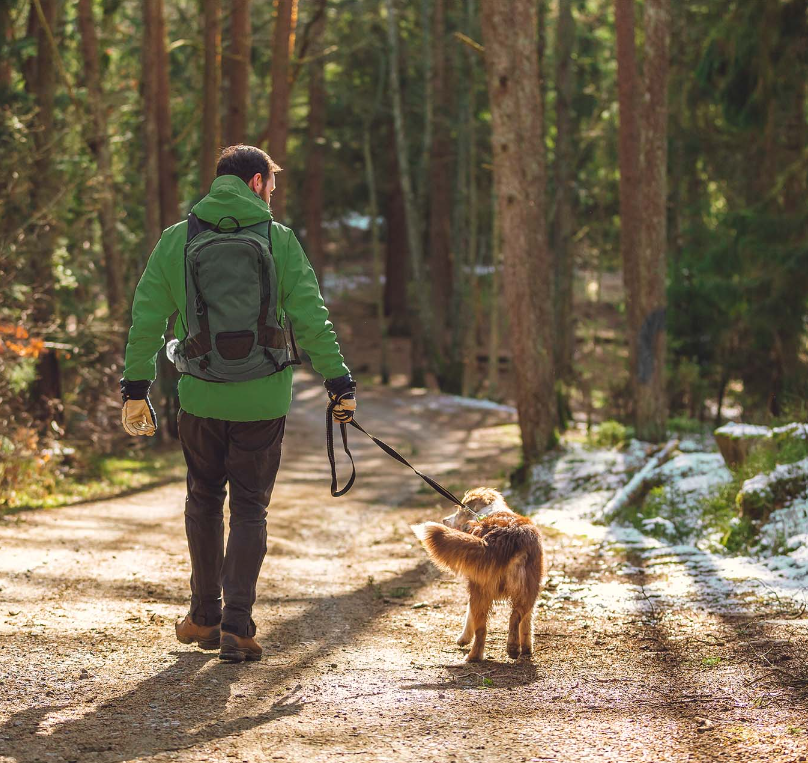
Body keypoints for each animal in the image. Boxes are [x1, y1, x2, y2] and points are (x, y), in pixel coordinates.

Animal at [414, 490, 548, 664]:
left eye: (460, 509)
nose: (444, 520)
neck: (487, 512)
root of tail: (508, 536)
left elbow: (468, 615)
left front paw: (463, 639)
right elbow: (527, 624)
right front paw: (527, 648)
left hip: (481, 590)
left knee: (482, 629)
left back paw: (473, 657)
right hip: (529, 588)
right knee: (517, 616)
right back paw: (514, 648)